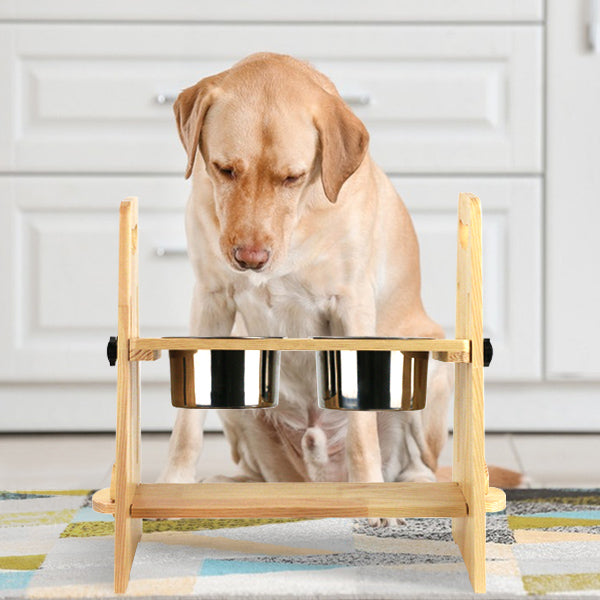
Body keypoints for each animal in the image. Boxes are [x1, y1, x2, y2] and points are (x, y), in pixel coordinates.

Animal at [157, 52, 458, 516]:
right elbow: (187, 424)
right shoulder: (211, 298)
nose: (249, 259)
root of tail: (318, 478)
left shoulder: (351, 305)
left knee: (421, 462)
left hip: (430, 371)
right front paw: (174, 486)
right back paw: (233, 485)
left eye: (293, 177)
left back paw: (409, 490)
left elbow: (361, 432)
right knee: (264, 474)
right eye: (224, 169)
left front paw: (370, 495)